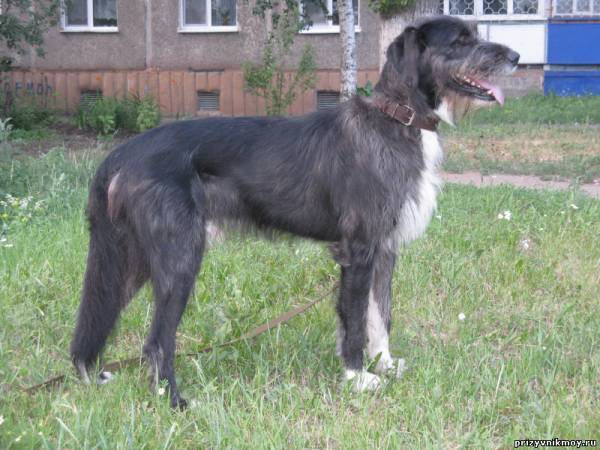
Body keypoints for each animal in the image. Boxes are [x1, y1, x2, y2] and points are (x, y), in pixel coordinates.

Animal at [70, 16, 519, 408]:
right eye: (460, 40)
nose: (515, 56)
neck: (396, 118)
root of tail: (122, 154)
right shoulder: (358, 251)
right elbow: (356, 319)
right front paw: (357, 377)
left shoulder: (384, 250)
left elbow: (381, 315)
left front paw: (385, 364)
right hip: (178, 259)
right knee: (157, 340)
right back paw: (174, 401)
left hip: (131, 259)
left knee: (98, 315)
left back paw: (94, 376)